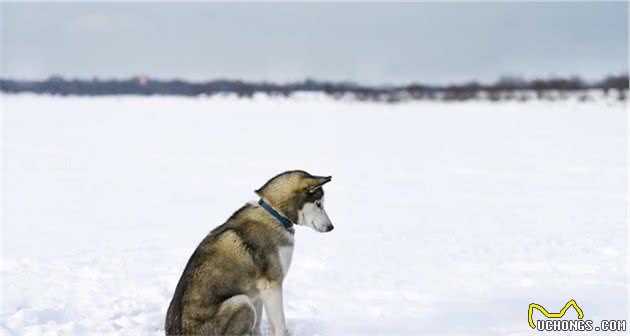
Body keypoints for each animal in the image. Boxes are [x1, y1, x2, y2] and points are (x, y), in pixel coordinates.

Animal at [168, 172, 336, 334]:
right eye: (318, 204)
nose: (331, 227)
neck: (275, 215)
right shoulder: (272, 284)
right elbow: (280, 326)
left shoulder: (258, 290)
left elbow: (257, 327)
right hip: (241, 302)